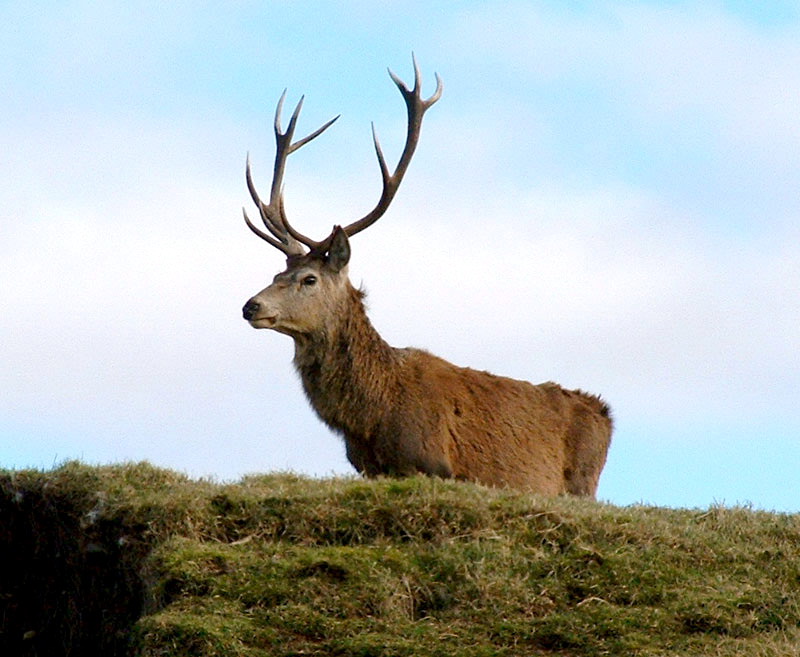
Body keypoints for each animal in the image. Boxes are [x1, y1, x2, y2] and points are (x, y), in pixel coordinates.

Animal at [239, 59, 612, 498]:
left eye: (309, 279)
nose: (251, 306)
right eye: (277, 272)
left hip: (583, 482)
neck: (373, 417)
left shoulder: (433, 465)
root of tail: (604, 413)